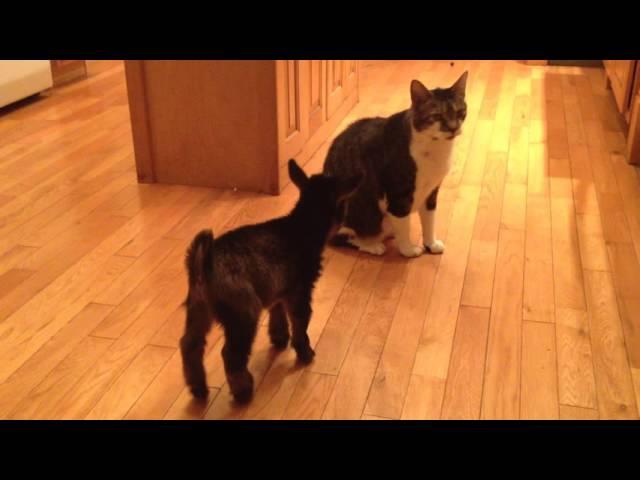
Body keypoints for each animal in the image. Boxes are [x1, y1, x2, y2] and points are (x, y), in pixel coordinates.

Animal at [181, 159, 360, 404]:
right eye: (343, 207)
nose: (345, 225)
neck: (303, 224)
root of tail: (204, 262)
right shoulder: (300, 293)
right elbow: (301, 325)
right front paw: (305, 352)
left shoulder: (279, 291)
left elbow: (278, 314)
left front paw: (279, 337)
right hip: (244, 314)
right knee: (231, 356)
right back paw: (243, 390)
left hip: (198, 311)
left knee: (191, 346)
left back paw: (198, 388)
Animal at [322, 70, 468, 256]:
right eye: (437, 116)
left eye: (459, 112)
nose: (453, 127)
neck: (436, 147)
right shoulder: (399, 194)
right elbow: (404, 224)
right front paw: (408, 250)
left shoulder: (431, 191)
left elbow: (429, 219)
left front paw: (431, 244)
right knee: (342, 237)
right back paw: (373, 245)